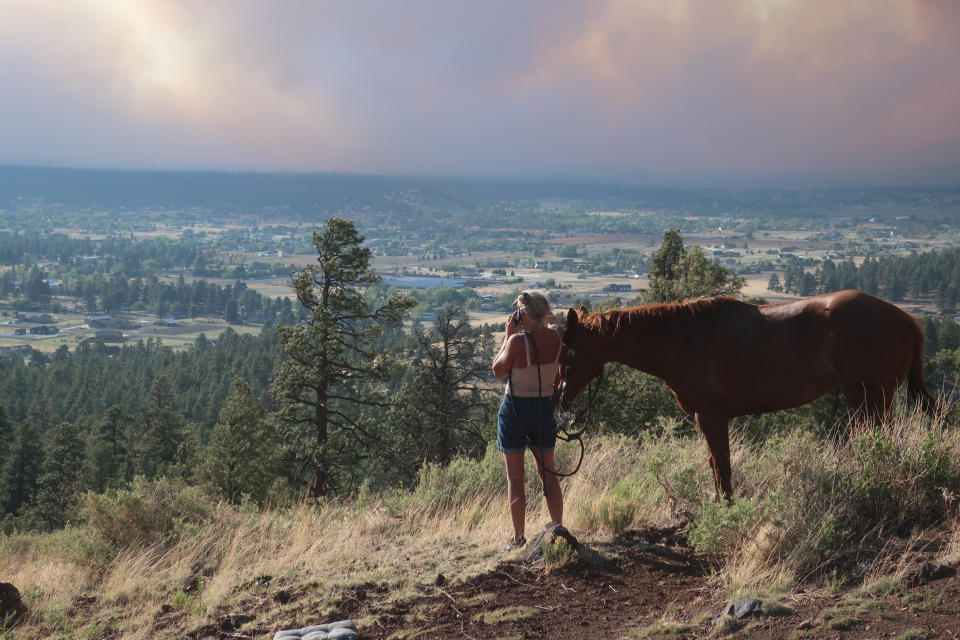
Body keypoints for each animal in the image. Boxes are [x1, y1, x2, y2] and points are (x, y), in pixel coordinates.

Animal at [556, 290, 936, 500]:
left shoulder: (711, 416)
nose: (560, 397)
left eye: (568, 350)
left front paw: (726, 509)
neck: (680, 339)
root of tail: (902, 317)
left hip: (868, 398)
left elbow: (722, 466)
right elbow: (715, 465)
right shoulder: (706, 418)